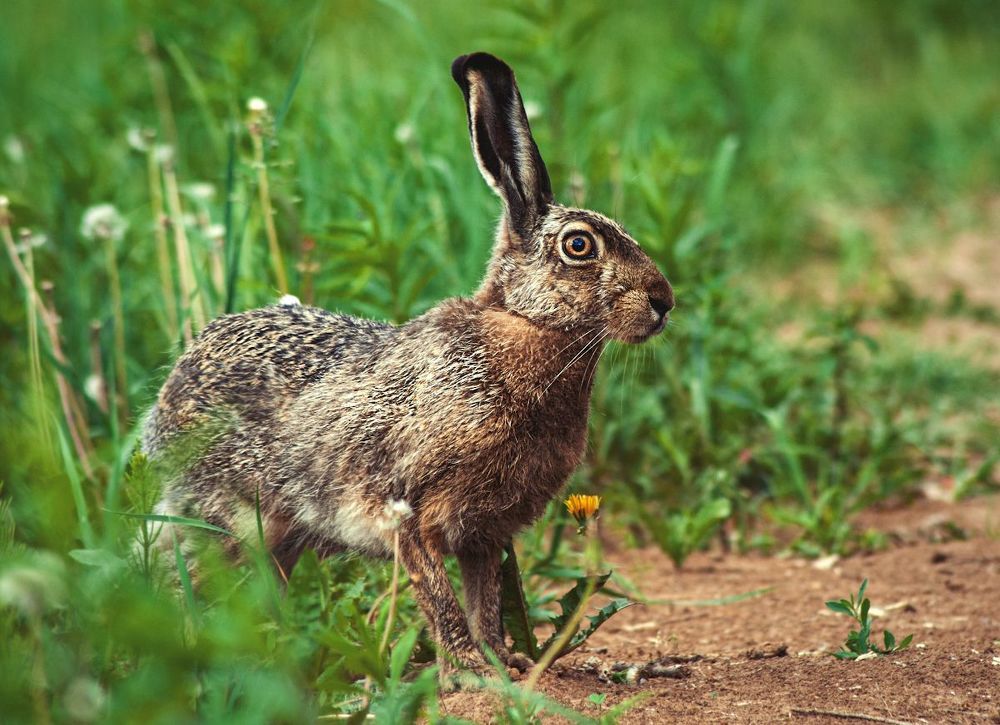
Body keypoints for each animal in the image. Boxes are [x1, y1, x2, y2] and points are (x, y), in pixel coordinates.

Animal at [142, 51, 673, 681]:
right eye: (579, 246)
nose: (664, 301)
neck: (524, 328)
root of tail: (173, 389)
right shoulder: (410, 512)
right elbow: (440, 596)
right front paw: (469, 670)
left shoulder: (484, 531)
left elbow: (485, 598)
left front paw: (505, 661)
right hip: (230, 518)